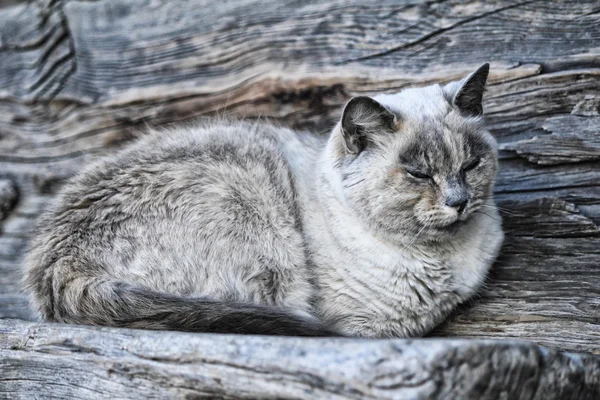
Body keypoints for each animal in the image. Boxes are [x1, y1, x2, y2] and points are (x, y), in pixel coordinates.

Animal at [23, 65, 502, 338]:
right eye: (418, 174)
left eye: (472, 164)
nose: (459, 201)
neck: (439, 260)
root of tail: (58, 264)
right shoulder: (364, 329)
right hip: (249, 195)